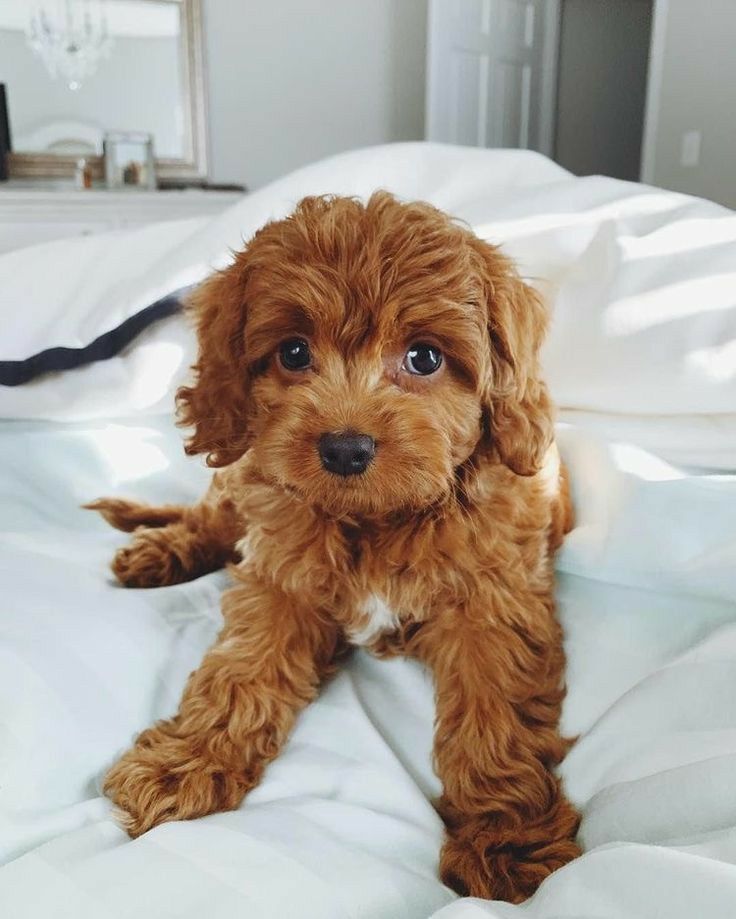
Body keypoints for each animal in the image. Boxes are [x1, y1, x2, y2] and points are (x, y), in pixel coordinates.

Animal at [87, 190, 580, 904]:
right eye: (293, 352)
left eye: (425, 358)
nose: (346, 449)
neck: (375, 519)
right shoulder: (279, 580)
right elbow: (242, 672)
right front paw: (187, 763)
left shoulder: (494, 604)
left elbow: (496, 719)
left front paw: (507, 835)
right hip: (239, 477)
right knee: (211, 519)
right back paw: (159, 553)